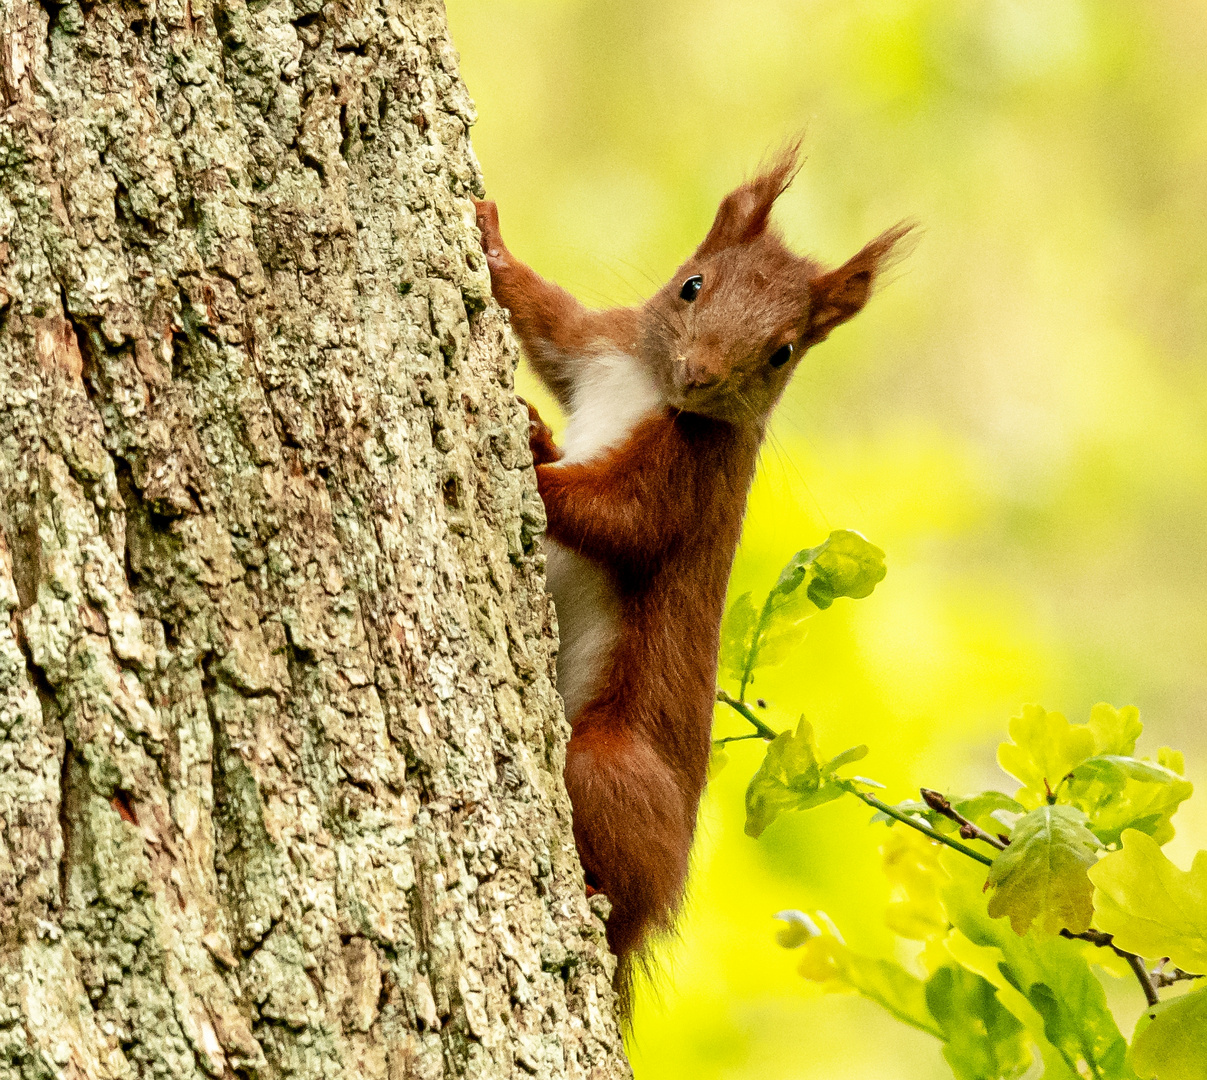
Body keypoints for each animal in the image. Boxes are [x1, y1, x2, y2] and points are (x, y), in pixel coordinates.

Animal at [470, 147, 907, 1008]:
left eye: (780, 352)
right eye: (691, 285)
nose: (700, 375)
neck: (647, 386)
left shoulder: (689, 479)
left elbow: (623, 522)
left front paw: (534, 457)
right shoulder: (596, 345)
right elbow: (544, 319)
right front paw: (490, 238)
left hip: (609, 765)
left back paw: (597, 893)